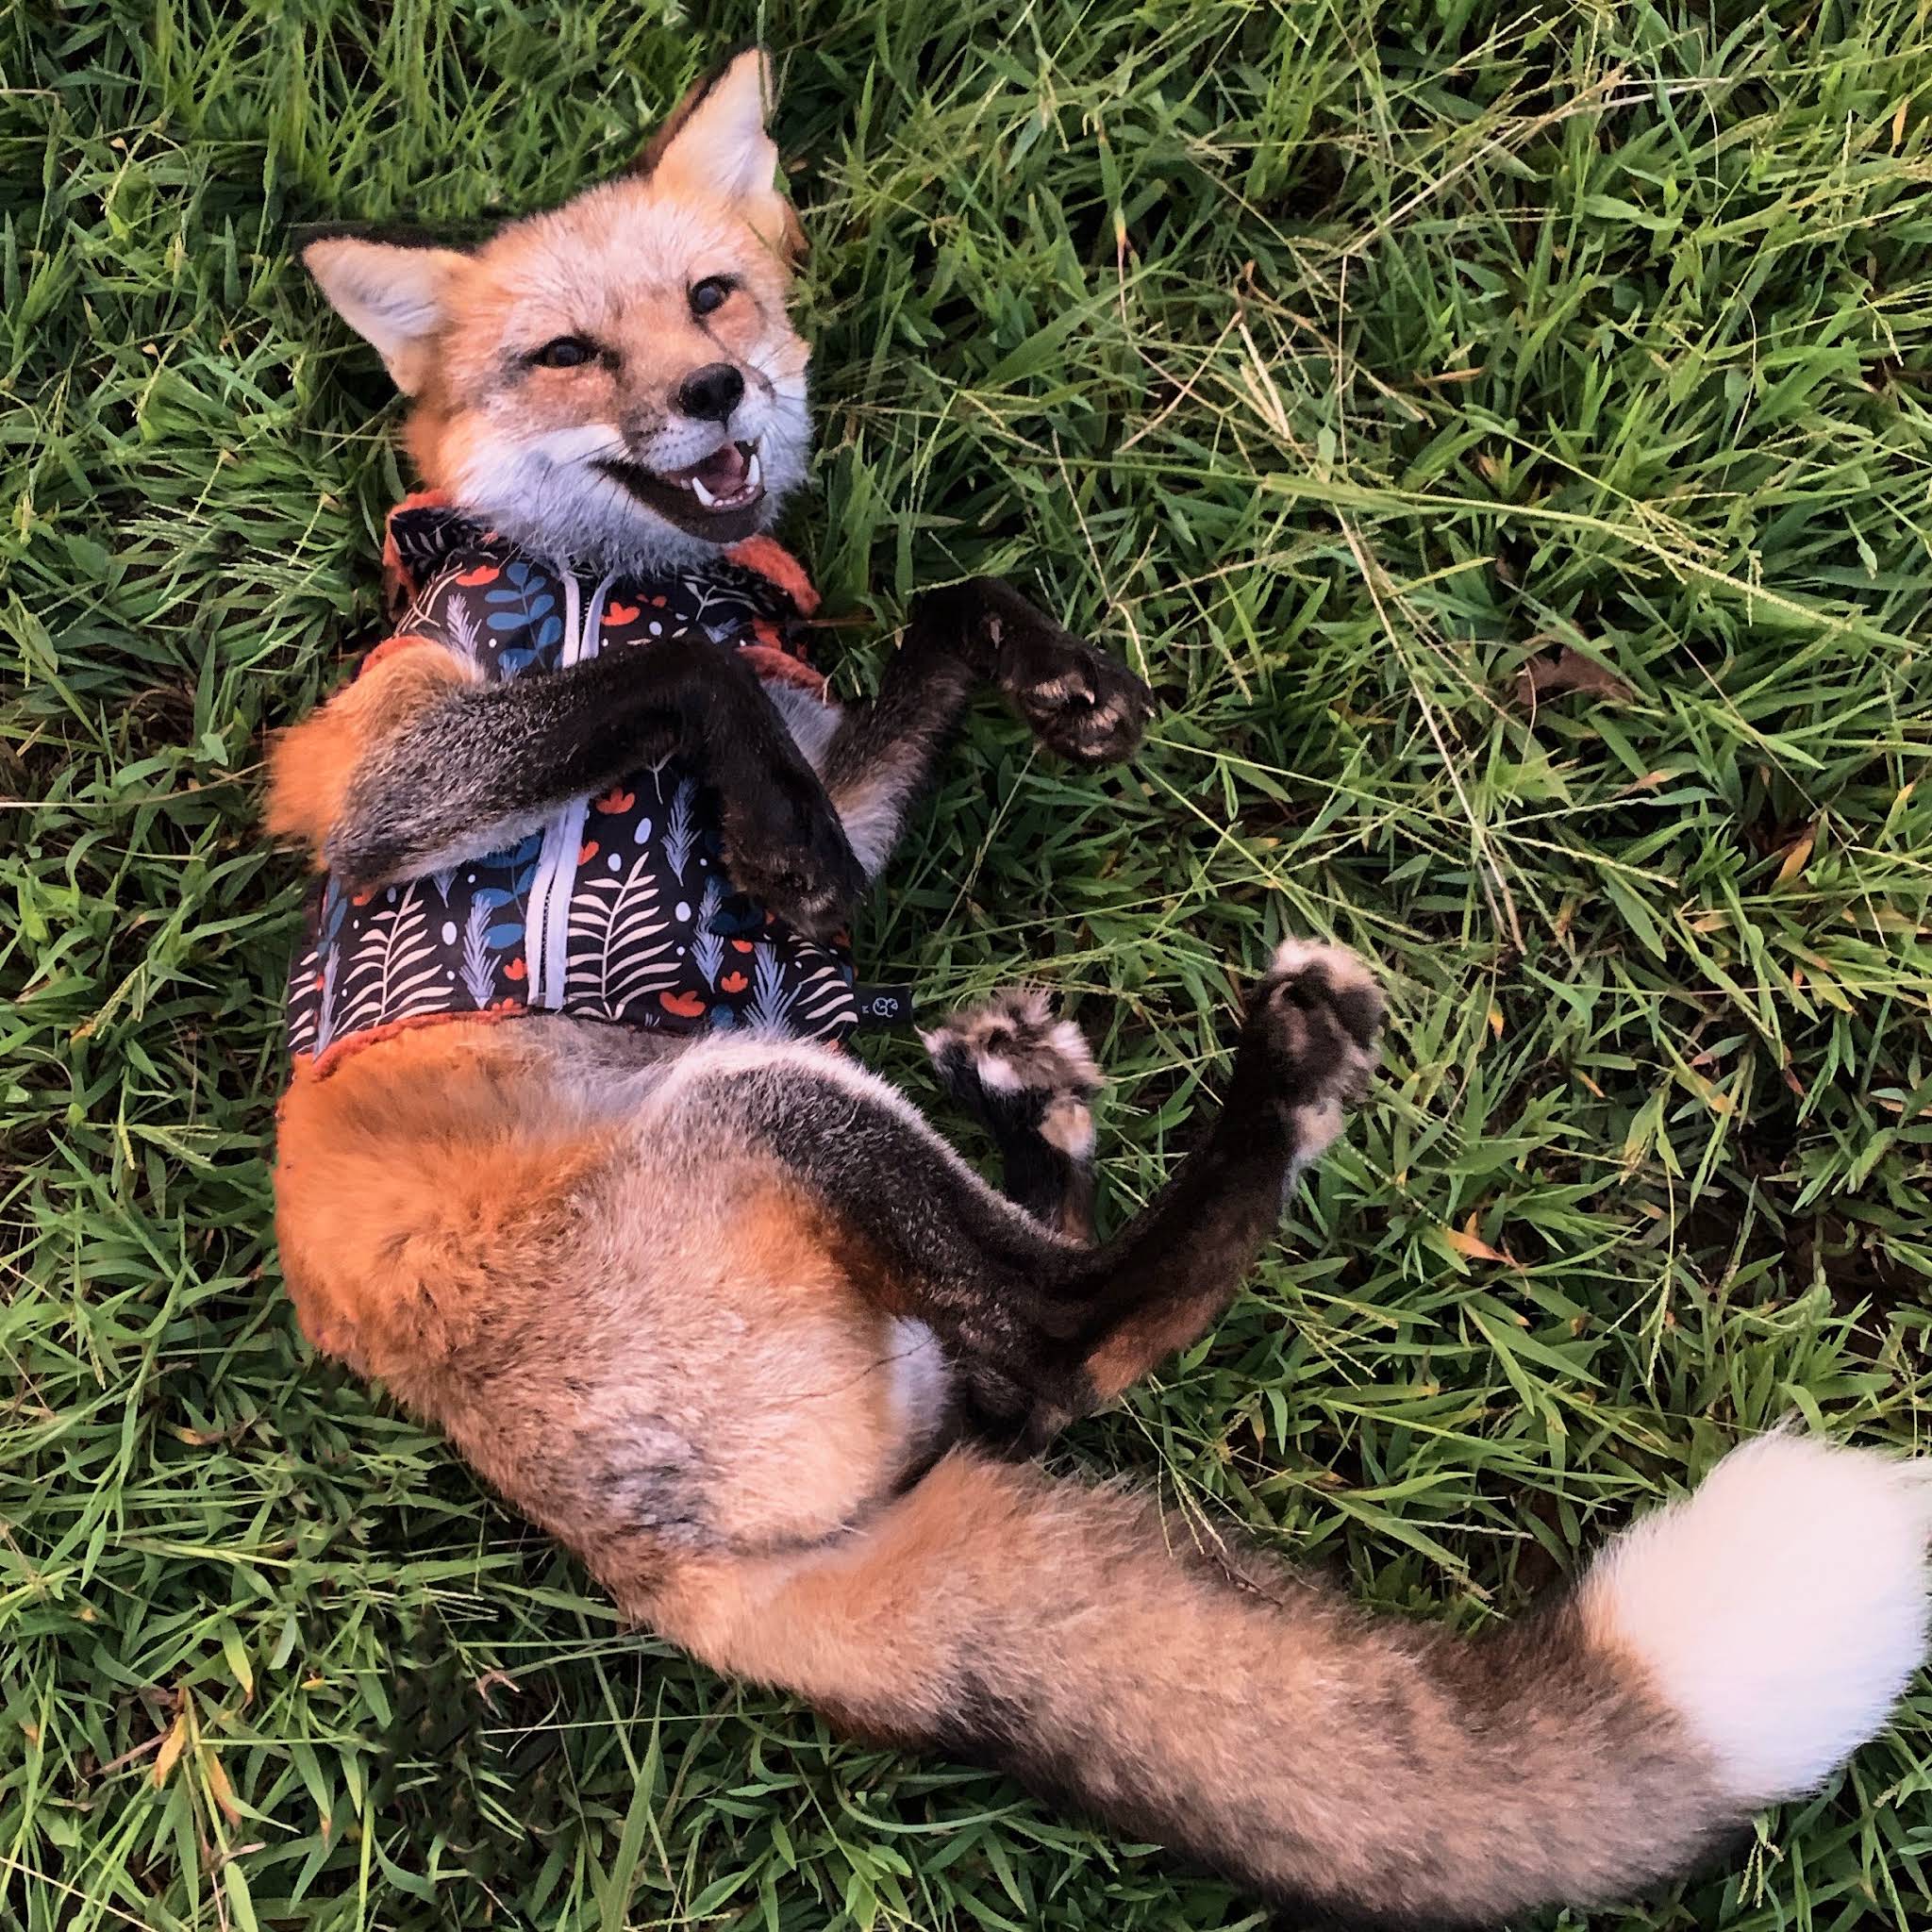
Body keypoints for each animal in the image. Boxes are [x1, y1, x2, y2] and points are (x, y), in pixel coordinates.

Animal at [268, 47, 1932, 1929]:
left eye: (709, 297)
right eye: (563, 354)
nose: (716, 391)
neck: (616, 572)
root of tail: (667, 1572)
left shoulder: (834, 764)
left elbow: (922, 630)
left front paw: (1038, 674)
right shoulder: (368, 781)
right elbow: (688, 684)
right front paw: (765, 812)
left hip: (844, 1193)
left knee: (1015, 1352)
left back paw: (1038, 1108)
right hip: (770, 1101)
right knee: (1059, 1344)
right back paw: (1272, 1088)